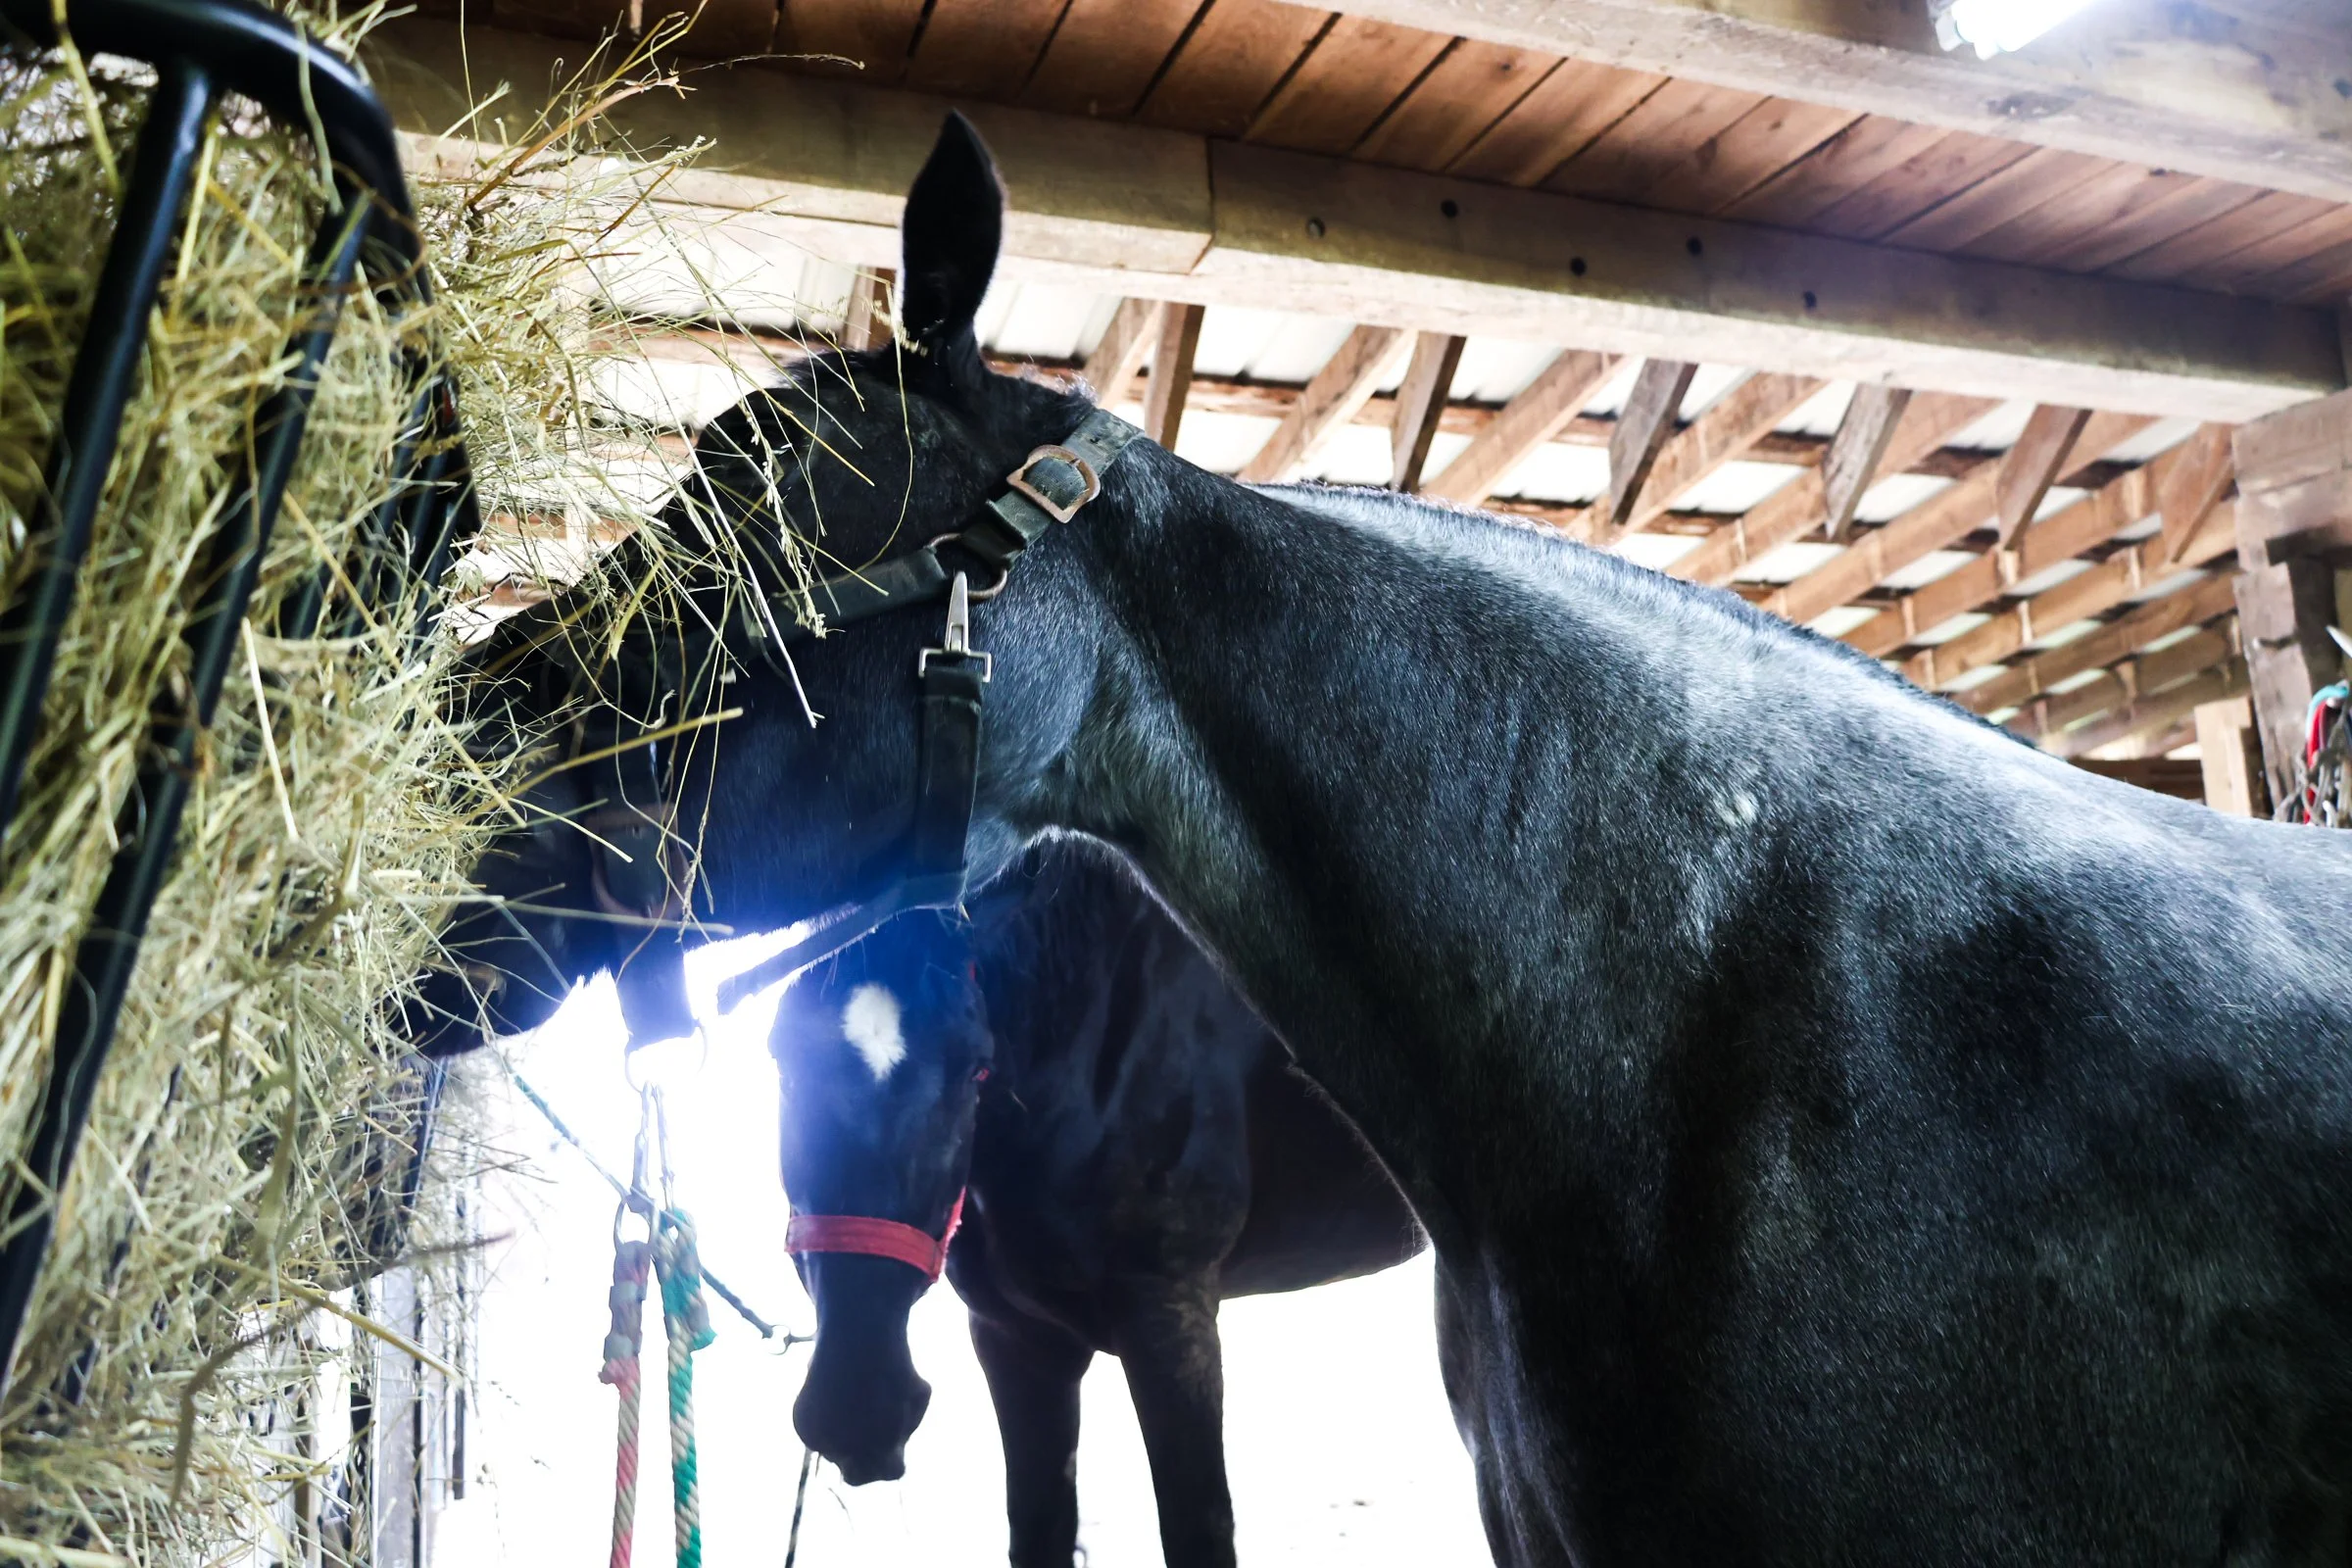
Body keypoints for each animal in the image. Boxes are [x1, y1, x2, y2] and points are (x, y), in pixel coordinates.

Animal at [772, 839, 1423, 1565]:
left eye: (974, 1068)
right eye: (783, 1062)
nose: (859, 1410)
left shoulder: (1173, 1323)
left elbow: (1198, 1528)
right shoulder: (1016, 1338)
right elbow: (1040, 1529)